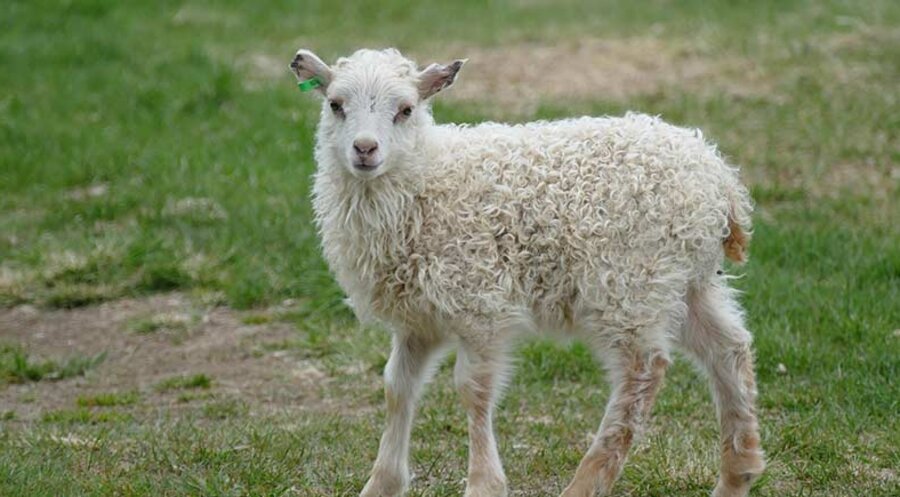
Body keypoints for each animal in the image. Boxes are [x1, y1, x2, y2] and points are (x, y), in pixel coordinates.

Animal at [289, 47, 765, 497]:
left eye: (405, 109)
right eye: (335, 104)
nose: (365, 149)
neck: (428, 179)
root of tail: (721, 180)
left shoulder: (479, 301)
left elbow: (473, 389)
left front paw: (483, 484)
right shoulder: (418, 319)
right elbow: (397, 386)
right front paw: (381, 484)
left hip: (630, 279)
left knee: (643, 371)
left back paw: (585, 483)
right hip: (686, 280)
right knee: (729, 349)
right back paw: (736, 475)